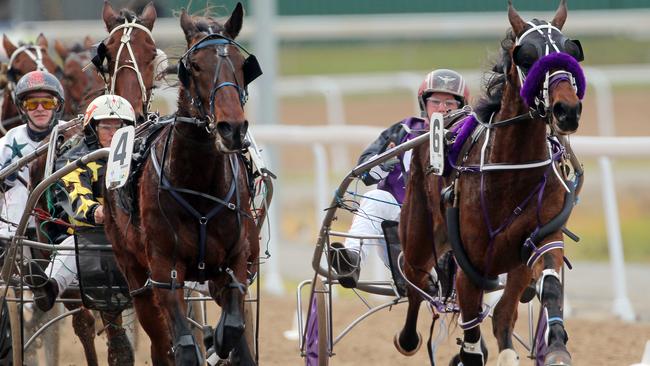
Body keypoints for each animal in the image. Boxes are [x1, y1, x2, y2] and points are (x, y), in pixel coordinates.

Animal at [102, 2, 260, 364]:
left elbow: (233, 327)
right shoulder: (164, 271)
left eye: (240, 64)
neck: (200, 185)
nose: (232, 128)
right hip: (134, 274)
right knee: (160, 341)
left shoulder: (236, 261)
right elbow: (184, 345)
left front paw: (220, 338)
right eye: (196, 66)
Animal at [394, 1, 584, 364]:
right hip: (418, 238)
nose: (567, 109)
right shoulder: (470, 265)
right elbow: (470, 340)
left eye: (570, 52)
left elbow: (549, 289)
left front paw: (556, 347)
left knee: (502, 317)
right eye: (527, 57)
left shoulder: (542, 237)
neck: (510, 172)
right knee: (414, 284)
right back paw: (408, 338)